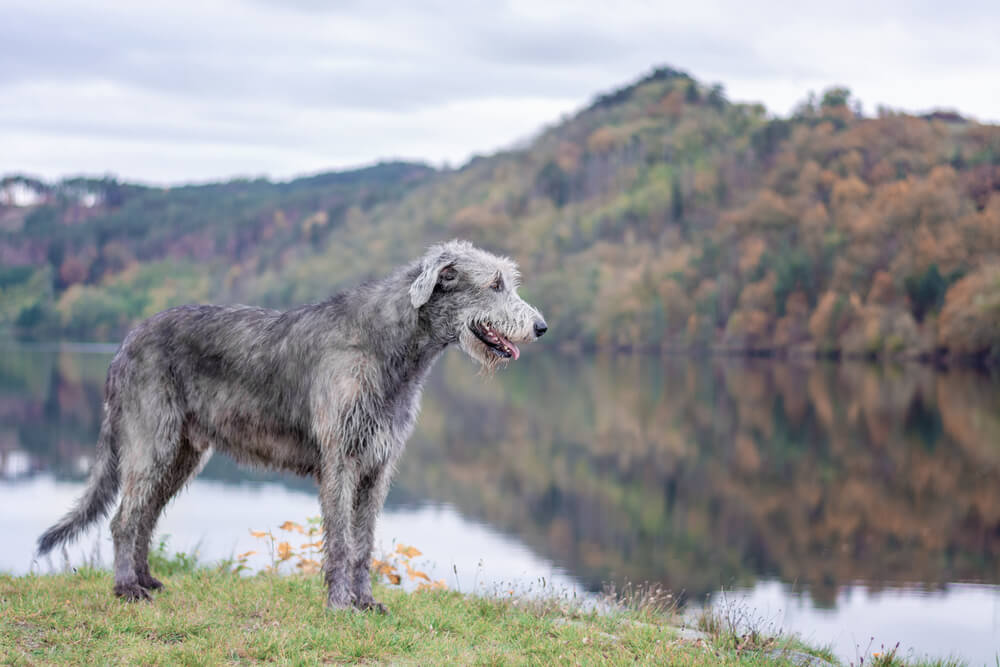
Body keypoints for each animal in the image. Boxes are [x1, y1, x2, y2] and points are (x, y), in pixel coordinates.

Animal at [35, 243, 548, 612]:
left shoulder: (377, 467)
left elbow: (364, 542)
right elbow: (340, 541)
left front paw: (366, 602)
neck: (388, 345)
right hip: (152, 441)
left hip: (181, 454)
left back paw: (145, 579)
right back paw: (127, 589)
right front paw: (340, 605)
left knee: (144, 517)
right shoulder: (341, 462)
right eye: (495, 283)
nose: (541, 327)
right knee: (124, 519)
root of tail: (125, 342)